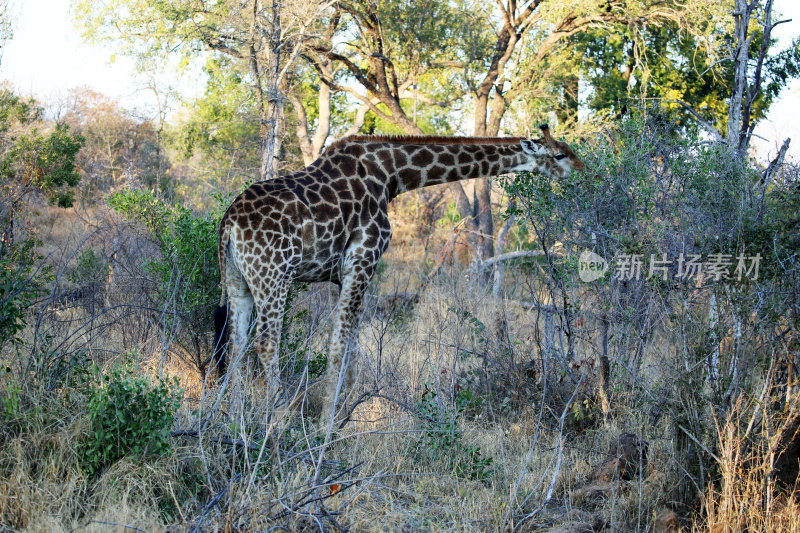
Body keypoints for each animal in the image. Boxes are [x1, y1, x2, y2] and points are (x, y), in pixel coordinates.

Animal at [212, 123, 588, 420]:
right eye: (560, 155)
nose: (586, 171)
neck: (392, 175)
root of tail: (229, 224)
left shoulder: (342, 274)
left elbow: (352, 346)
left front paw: (345, 415)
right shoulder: (362, 260)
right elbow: (339, 344)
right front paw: (327, 426)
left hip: (236, 280)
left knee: (236, 342)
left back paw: (232, 416)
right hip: (273, 276)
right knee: (266, 342)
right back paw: (275, 418)